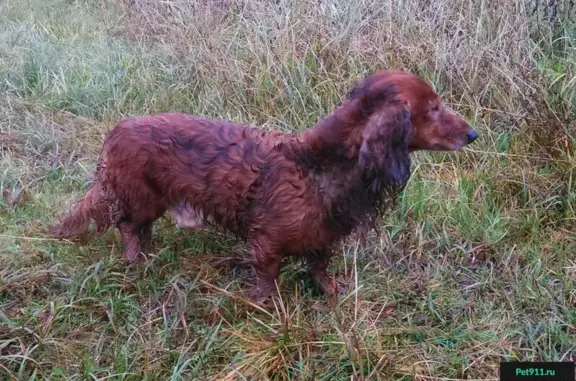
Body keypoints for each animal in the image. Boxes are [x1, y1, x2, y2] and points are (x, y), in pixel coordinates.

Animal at [50, 70, 476, 302]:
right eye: (434, 108)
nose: (473, 134)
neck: (319, 162)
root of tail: (117, 129)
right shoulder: (268, 241)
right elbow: (268, 276)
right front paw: (268, 305)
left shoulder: (325, 234)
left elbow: (320, 264)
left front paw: (329, 290)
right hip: (141, 198)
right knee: (128, 226)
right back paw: (136, 259)